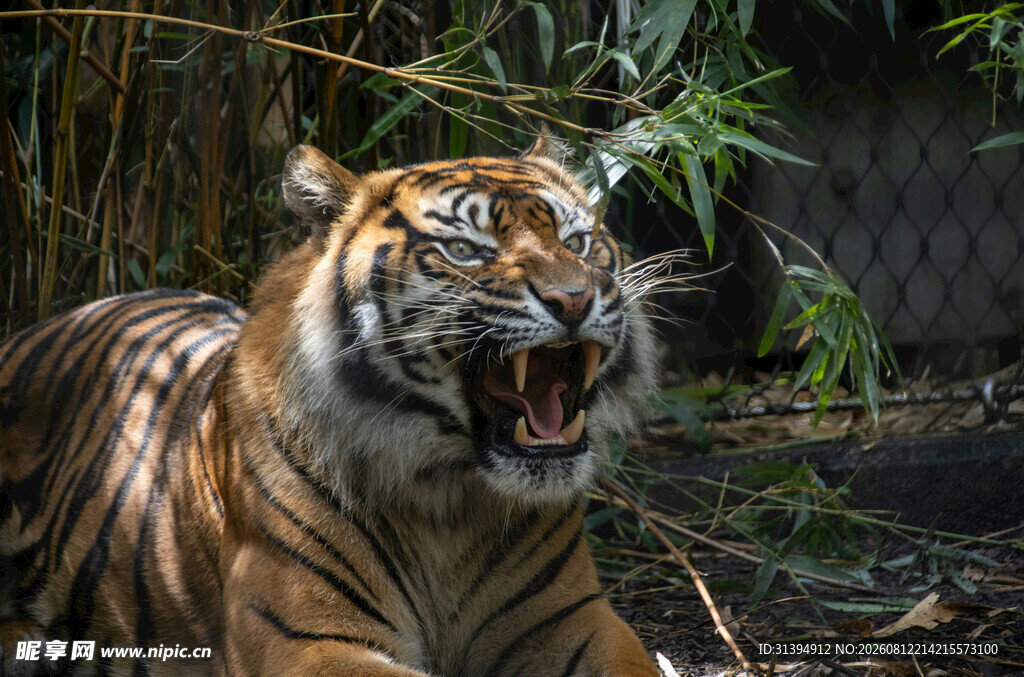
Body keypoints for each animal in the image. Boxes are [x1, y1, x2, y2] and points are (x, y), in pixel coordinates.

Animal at [0, 139, 662, 676]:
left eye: (578, 243)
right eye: (463, 249)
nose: (573, 299)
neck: (450, 502)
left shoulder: (575, 621)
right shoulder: (307, 641)